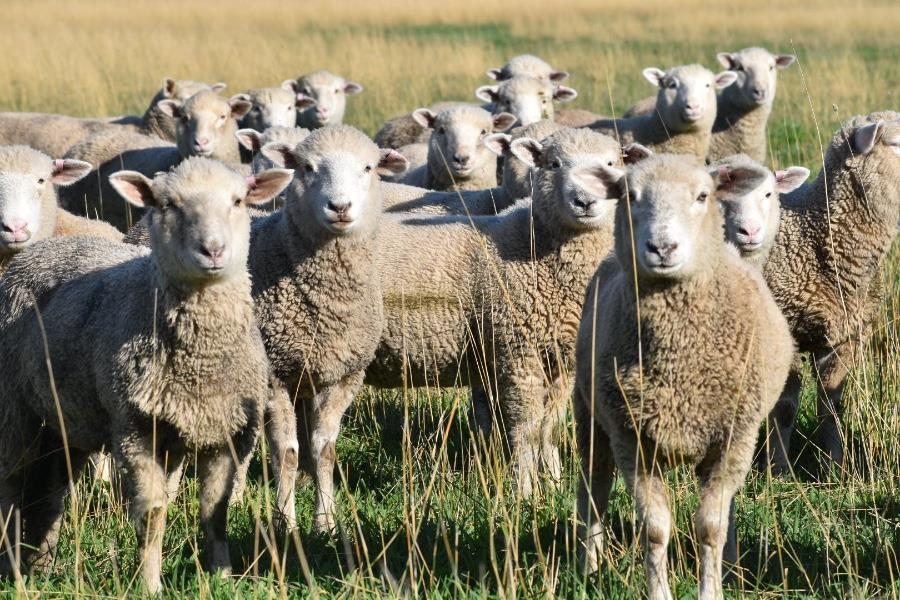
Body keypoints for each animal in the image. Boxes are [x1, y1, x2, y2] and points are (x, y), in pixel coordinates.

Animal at [245, 125, 409, 531]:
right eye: (307, 167)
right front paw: (286, 523)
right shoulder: (274, 376)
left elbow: (325, 450)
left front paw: (326, 522)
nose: (340, 207)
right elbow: (286, 452)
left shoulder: (344, 375)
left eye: (368, 167)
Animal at [364, 128, 642, 495]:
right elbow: (526, 428)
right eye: (554, 164)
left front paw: (554, 483)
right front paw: (523, 491)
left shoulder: (561, 361)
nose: (585, 201)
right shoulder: (517, 352)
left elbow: (549, 427)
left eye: (611, 164)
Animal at [573, 153, 794, 600]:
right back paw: (589, 571)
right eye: (630, 195)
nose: (662, 247)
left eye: (702, 196)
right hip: (590, 416)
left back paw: (730, 566)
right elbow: (655, 530)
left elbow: (710, 526)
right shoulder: (632, 439)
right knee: (593, 492)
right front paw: (659, 590)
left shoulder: (733, 438)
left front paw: (712, 588)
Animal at [760, 111, 900, 474]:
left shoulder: (847, 337)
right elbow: (785, 406)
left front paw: (835, 466)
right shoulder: (787, 330)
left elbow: (832, 404)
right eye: (896, 142)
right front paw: (779, 470)